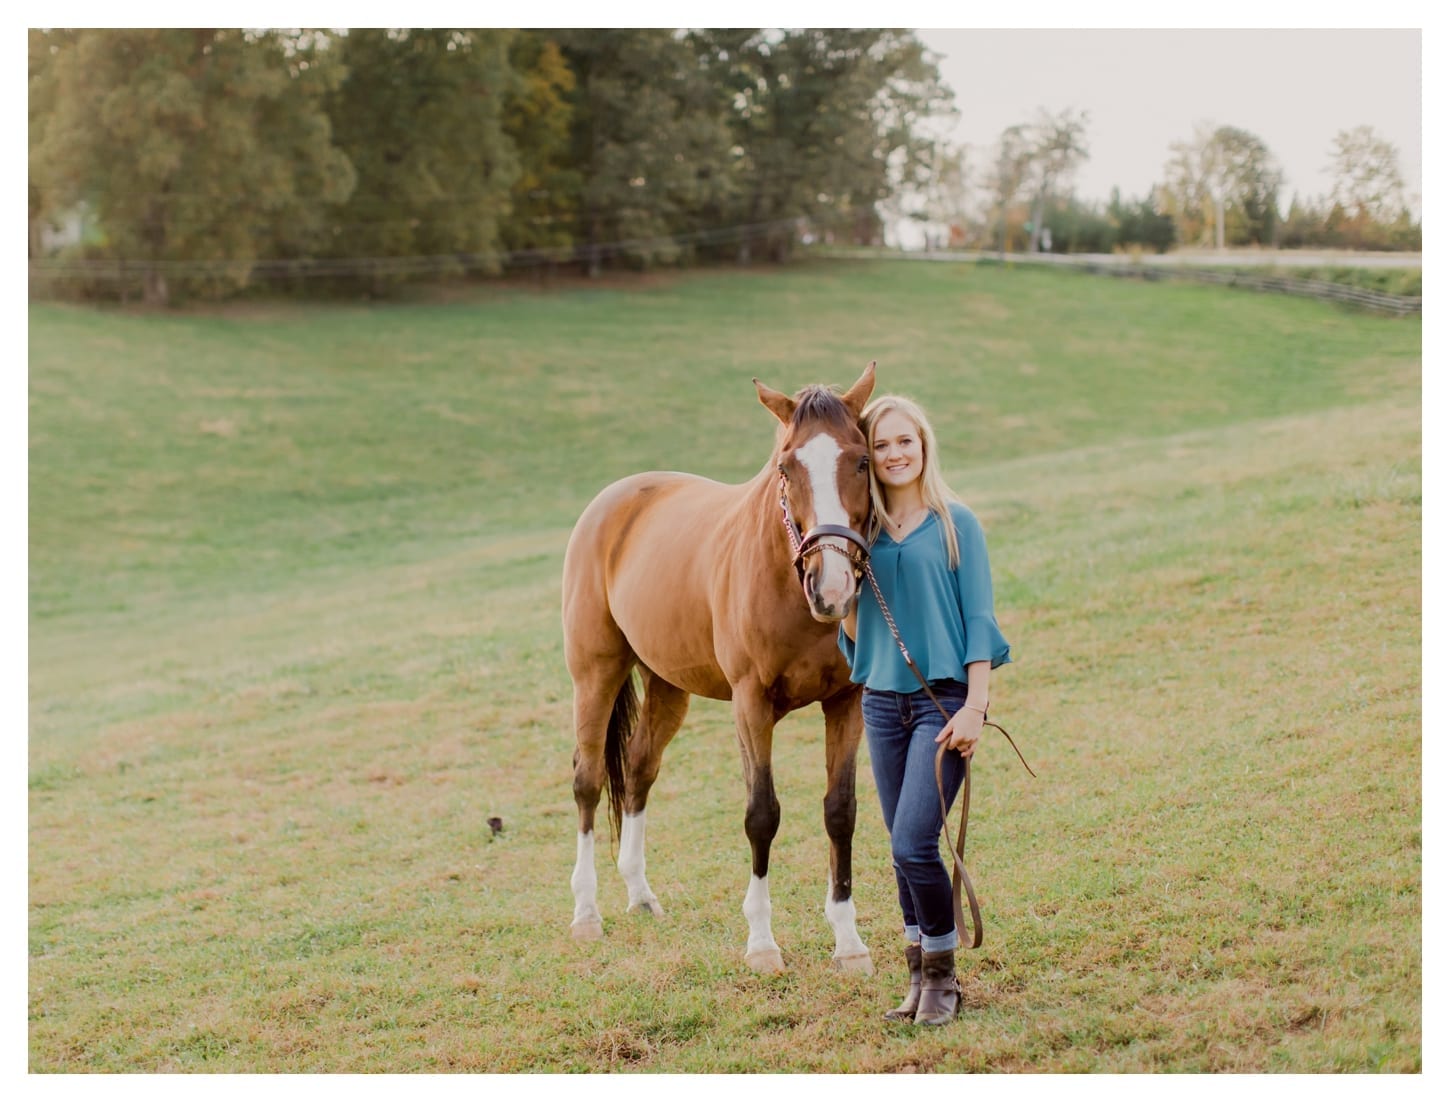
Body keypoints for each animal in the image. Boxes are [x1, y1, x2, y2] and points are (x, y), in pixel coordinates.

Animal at [559, 363, 875, 974]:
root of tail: (612, 500)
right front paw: (762, 945)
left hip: (667, 686)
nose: (831, 589)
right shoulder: (751, 705)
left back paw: (640, 895)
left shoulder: (846, 702)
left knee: (640, 770)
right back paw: (586, 915)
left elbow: (840, 811)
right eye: (786, 467)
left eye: (862, 460)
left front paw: (849, 943)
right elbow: (762, 815)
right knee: (588, 781)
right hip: (596, 674)